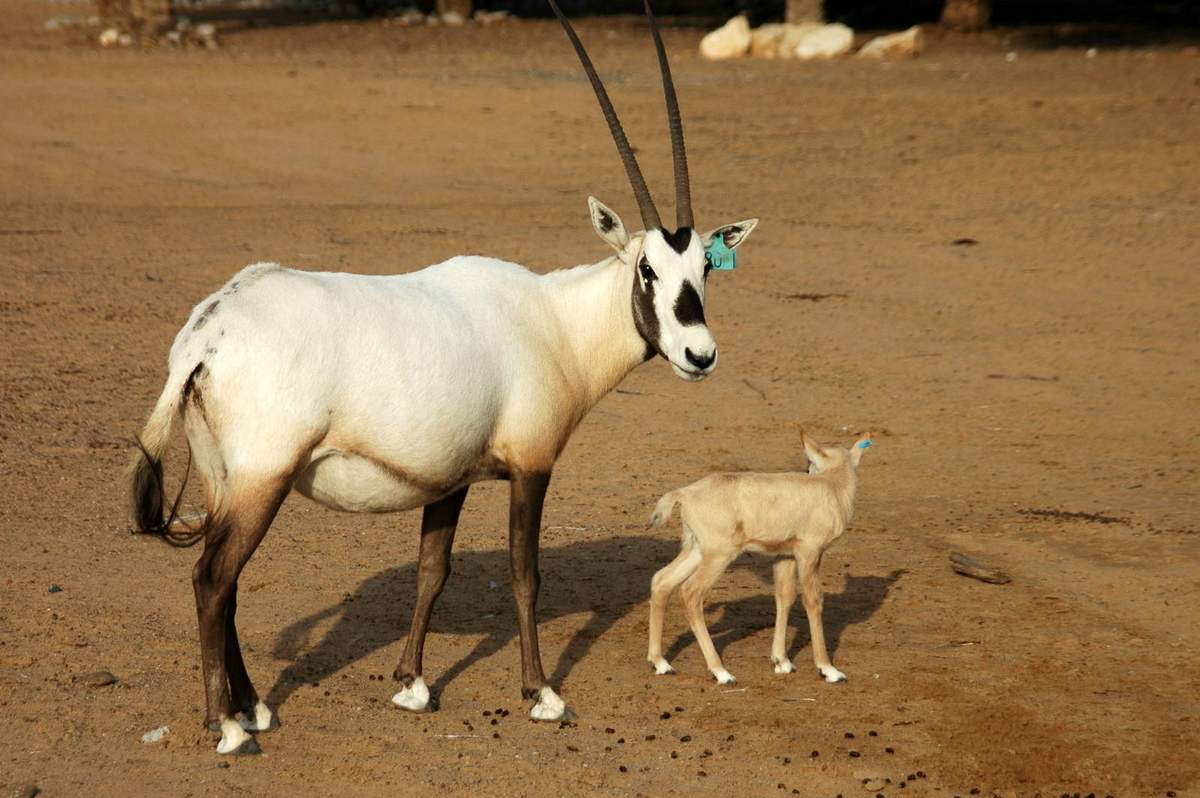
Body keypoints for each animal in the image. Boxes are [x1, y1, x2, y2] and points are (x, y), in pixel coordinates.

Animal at [648, 429, 873, 686]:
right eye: (810, 463)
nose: (807, 470)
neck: (831, 486)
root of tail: (685, 494)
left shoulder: (785, 556)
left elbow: (785, 596)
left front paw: (782, 661)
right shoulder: (810, 552)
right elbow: (813, 600)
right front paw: (828, 669)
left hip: (696, 550)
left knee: (662, 581)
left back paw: (661, 663)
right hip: (719, 555)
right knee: (691, 592)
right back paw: (721, 672)